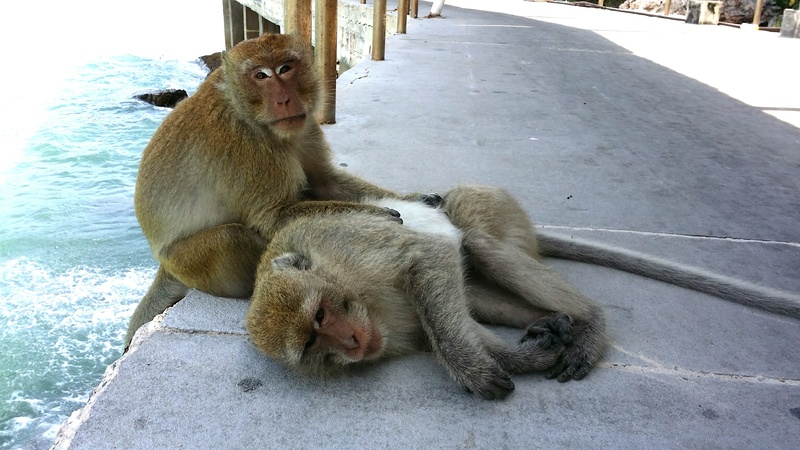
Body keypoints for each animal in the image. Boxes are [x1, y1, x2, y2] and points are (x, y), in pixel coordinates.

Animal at [125, 33, 418, 348]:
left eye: (285, 69)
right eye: (261, 75)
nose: (284, 99)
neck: (246, 111)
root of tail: (161, 261)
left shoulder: (305, 125)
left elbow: (324, 182)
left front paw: (414, 198)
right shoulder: (246, 145)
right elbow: (271, 217)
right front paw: (379, 216)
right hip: (187, 262)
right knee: (231, 237)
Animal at [247, 185, 607, 399]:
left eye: (319, 315)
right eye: (311, 345)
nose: (352, 343)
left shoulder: (348, 246)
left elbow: (428, 255)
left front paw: (471, 370)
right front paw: (525, 357)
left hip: (495, 211)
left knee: (475, 242)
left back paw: (590, 320)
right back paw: (551, 320)